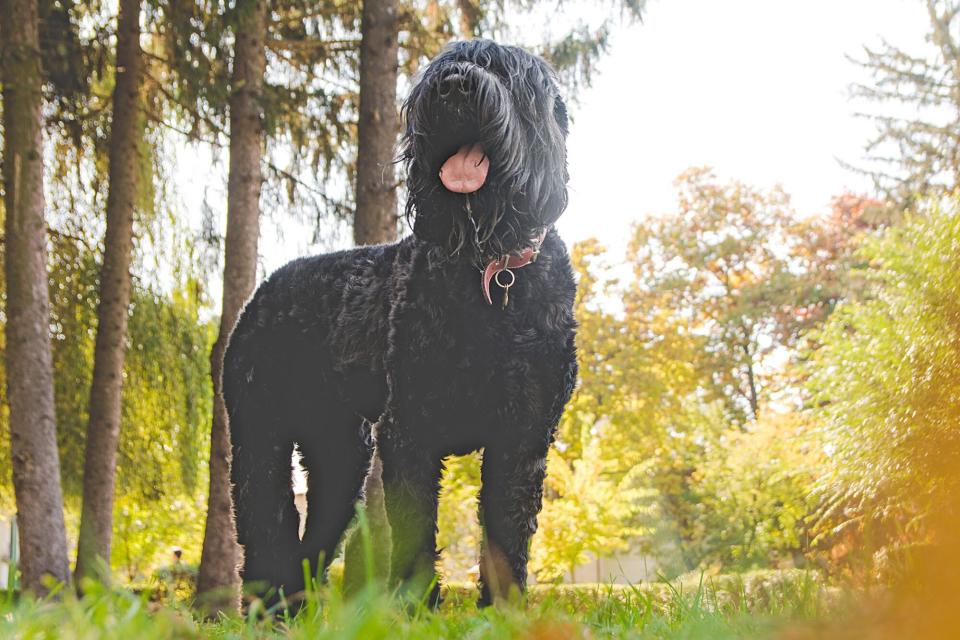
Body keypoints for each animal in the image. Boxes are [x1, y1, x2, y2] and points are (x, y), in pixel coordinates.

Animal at [225, 40, 576, 604]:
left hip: (340, 455)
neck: (488, 274)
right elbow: (414, 528)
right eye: (440, 67)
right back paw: (269, 607)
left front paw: (505, 609)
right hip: (260, 435)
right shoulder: (411, 428)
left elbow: (507, 531)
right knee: (267, 525)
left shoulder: (522, 436)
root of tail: (264, 288)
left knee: (313, 539)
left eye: (505, 70)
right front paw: (413, 606)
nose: (453, 84)